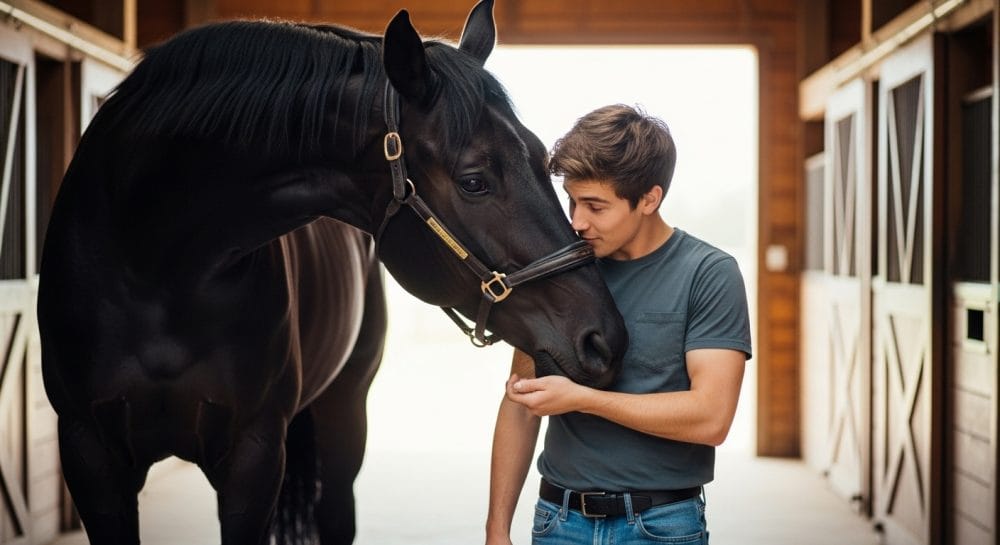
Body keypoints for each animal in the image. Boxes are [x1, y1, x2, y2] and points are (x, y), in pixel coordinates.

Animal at [36, 1, 627, 544]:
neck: (154, 258)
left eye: (540, 157)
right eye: (475, 180)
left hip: (345, 414)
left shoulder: (253, 456)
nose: (605, 340)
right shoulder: (90, 453)